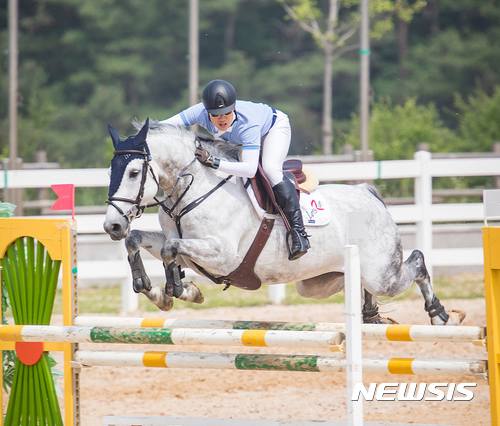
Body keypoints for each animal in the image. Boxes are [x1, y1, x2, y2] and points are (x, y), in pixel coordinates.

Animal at [103, 118, 466, 324]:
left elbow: (171, 250)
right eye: (111, 171)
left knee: (416, 262)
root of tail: (369, 194)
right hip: (319, 282)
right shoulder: (179, 242)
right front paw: (157, 291)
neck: (193, 190)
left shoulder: (222, 255)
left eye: (134, 172)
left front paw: (180, 289)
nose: (111, 226)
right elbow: (141, 241)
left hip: (381, 274)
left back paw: (440, 315)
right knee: (361, 285)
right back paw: (370, 314)